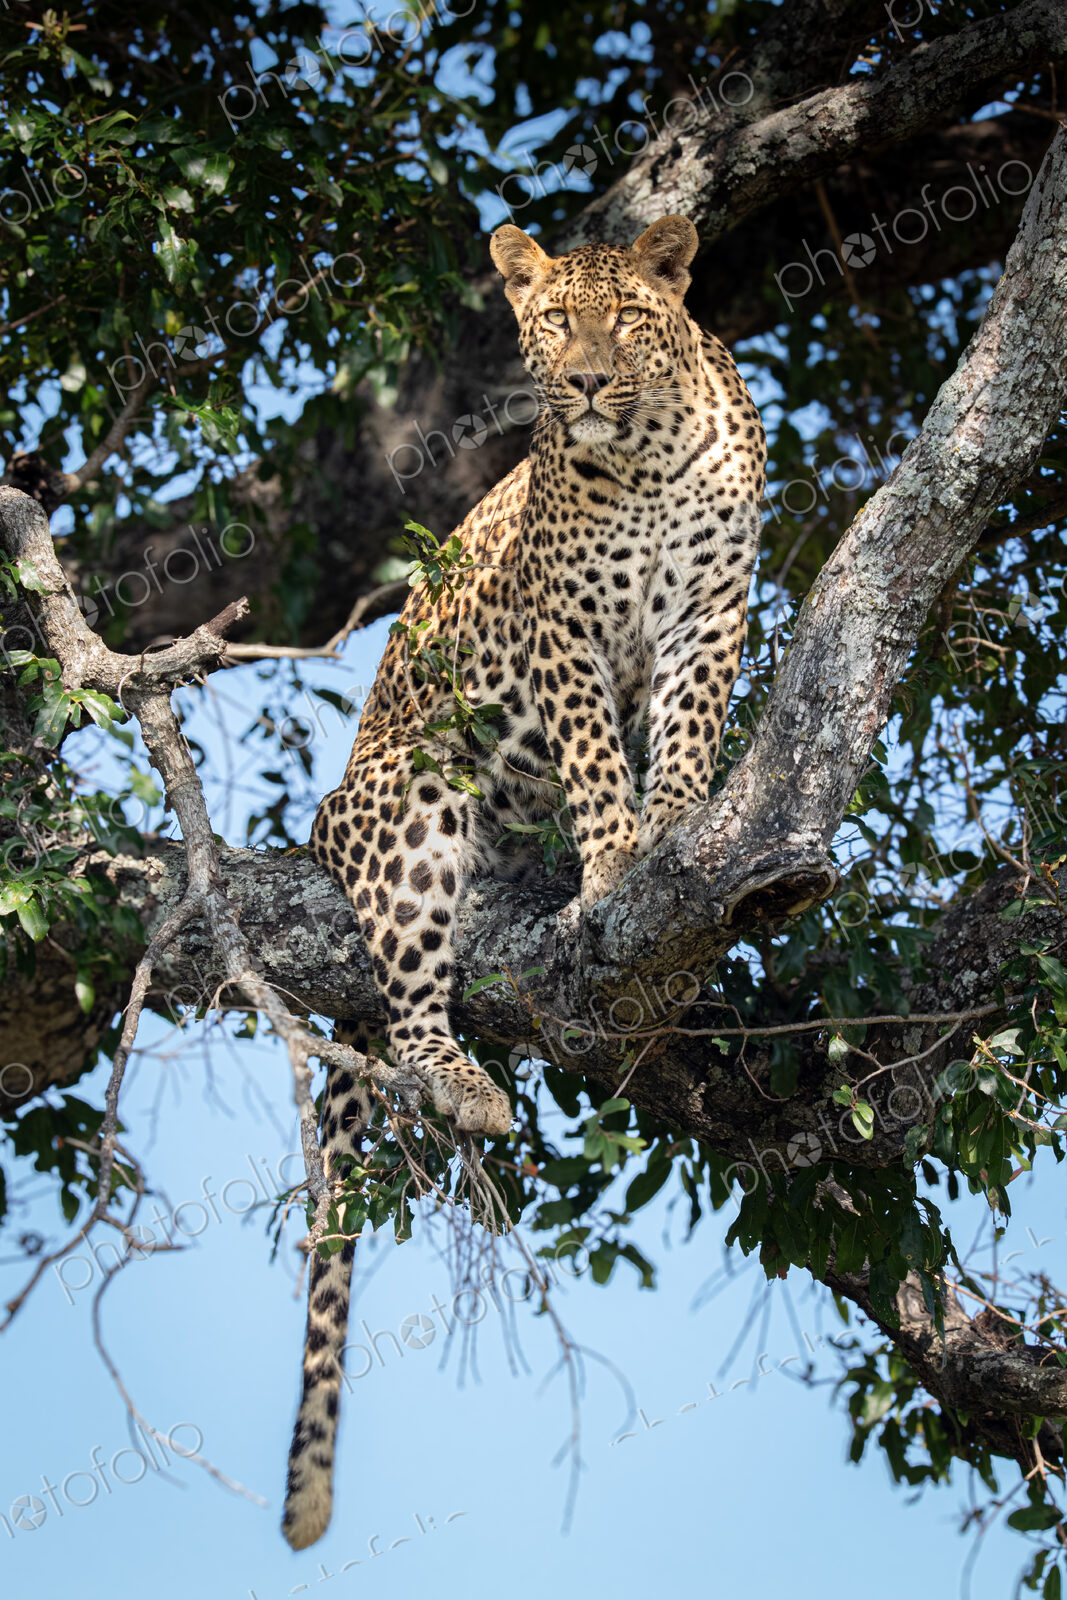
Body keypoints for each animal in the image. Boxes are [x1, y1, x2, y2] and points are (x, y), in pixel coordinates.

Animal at [282, 214, 766, 1549]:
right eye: (552, 324)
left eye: (627, 321)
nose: (587, 383)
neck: (644, 459)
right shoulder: (564, 634)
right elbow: (595, 757)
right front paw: (612, 865)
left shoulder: (709, 613)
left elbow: (685, 730)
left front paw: (675, 824)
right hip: (409, 801)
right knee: (408, 1002)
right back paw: (467, 1084)